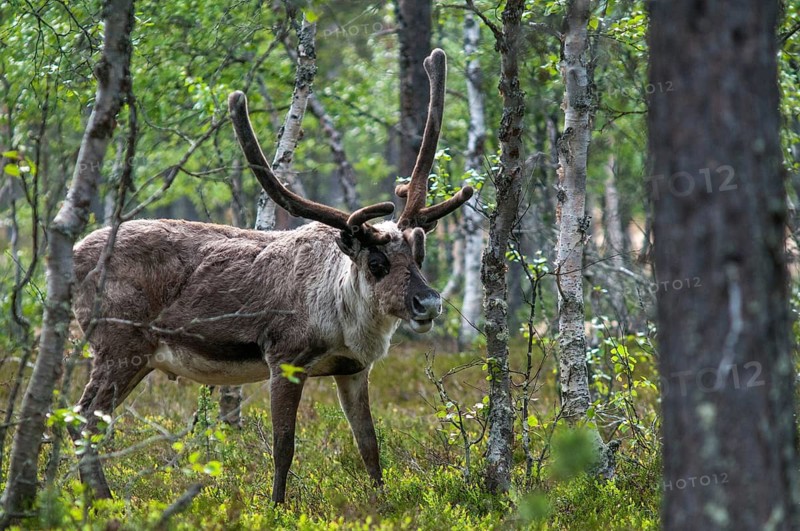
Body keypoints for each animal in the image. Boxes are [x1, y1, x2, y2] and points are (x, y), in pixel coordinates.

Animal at [69, 49, 472, 503]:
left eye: (419, 254)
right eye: (376, 263)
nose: (429, 303)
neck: (343, 318)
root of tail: (74, 255)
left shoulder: (353, 370)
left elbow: (369, 444)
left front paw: (382, 502)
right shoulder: (285, 358)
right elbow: (284, 445)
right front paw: (277, 505)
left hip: (138, 359)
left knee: (84, 420)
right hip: (118, 346)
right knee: (83, 419)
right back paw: (102, 501)